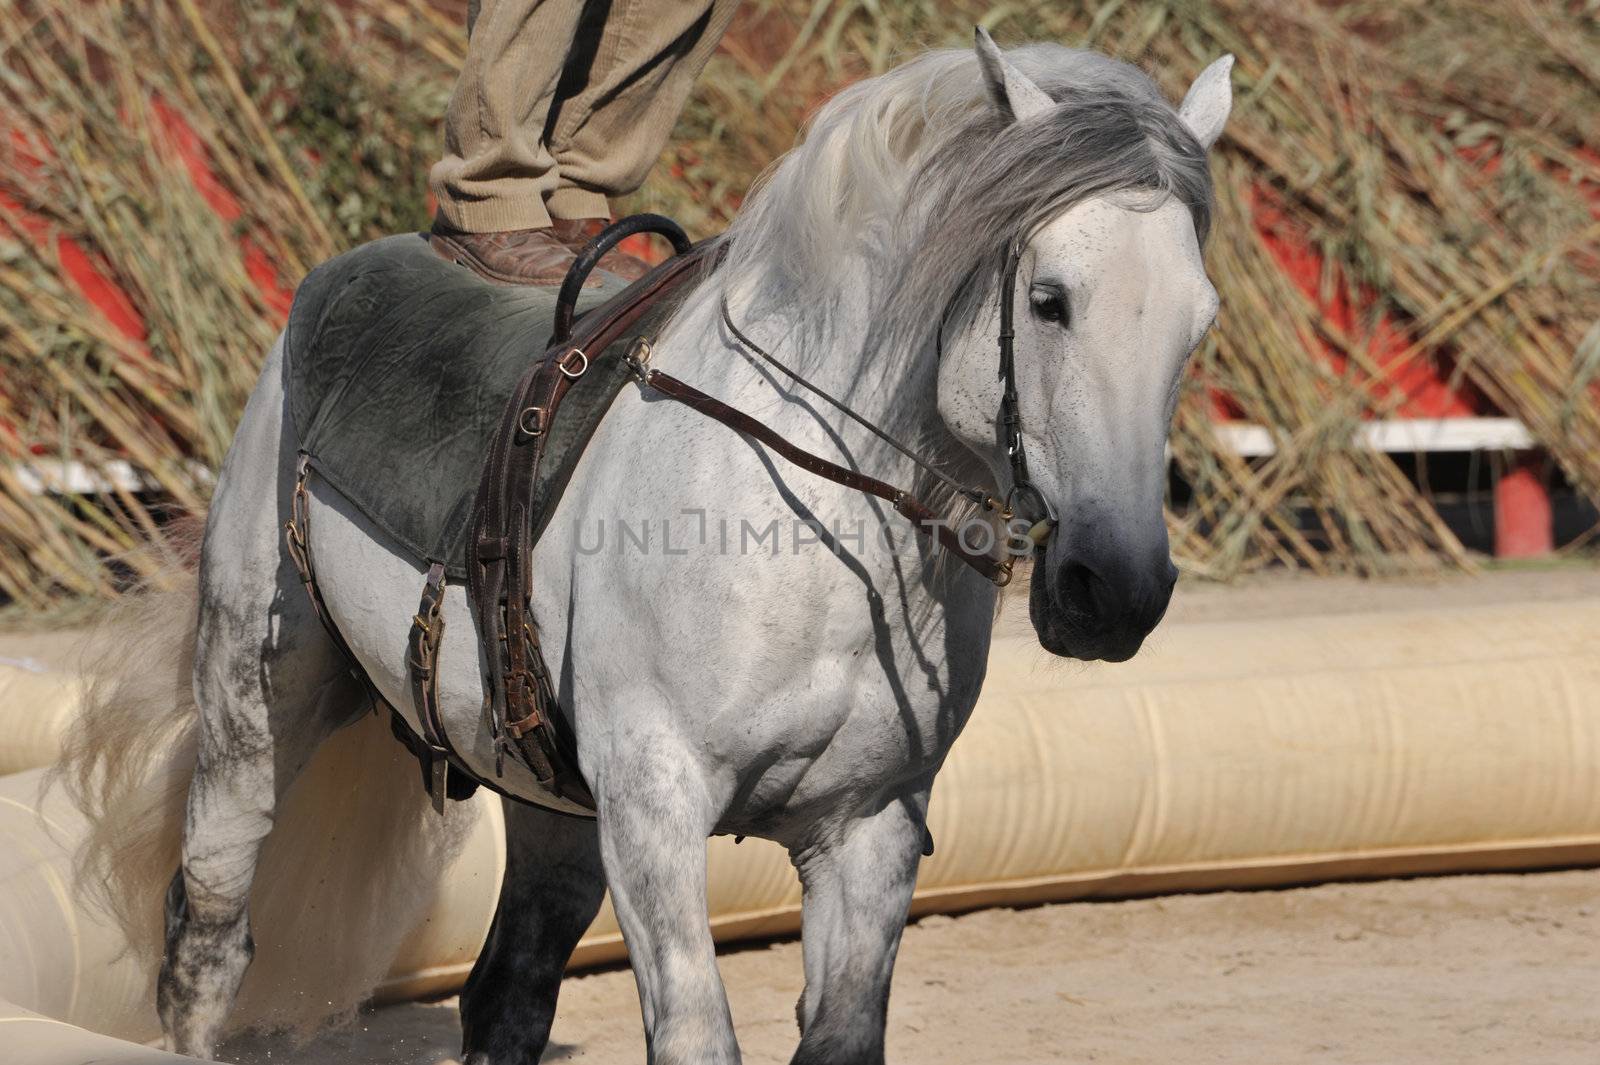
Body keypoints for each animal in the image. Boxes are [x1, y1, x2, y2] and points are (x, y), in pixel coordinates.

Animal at [62, 31, 1228, 1061]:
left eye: (1198, 322)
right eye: (1049, 299)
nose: (1115, 590)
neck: (816, 529)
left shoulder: (868, 828)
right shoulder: (655, 809)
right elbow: (699, 1035)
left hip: (549, 803)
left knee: (507, 991)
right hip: (257, 703)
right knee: (209, 932)